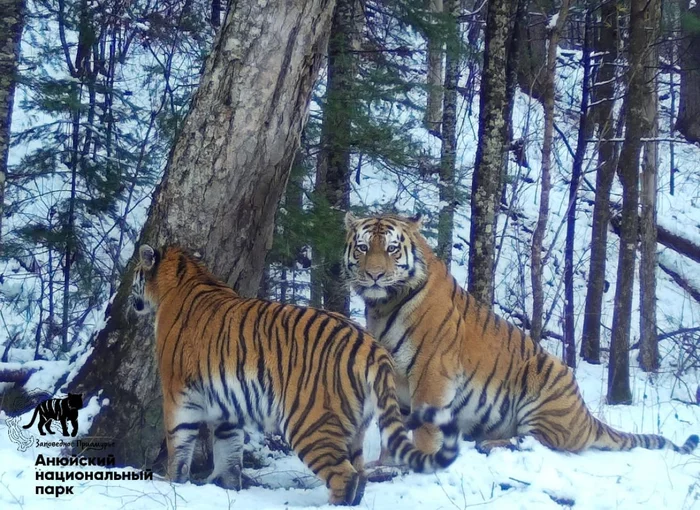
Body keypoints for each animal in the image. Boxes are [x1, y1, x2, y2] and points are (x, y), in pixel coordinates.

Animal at [130, 244, 460, 506]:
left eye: (135, 271)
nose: (129, 299)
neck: (185, 275)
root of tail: (371, 346)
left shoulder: (178, 393)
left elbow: (179, 443)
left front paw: (173, 483)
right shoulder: (228, 407)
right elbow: (229, 452)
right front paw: (227, 488)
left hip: (310, 424)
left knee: (344, 475)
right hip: (355, 428)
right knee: (361, 474)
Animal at [342, 213, 696, 460]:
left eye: (391, 249)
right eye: (363, 248)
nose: (374, 275)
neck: (382, 306)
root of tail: (585, 416)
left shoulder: (432, 373)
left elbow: (426, 428)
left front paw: (420, 461)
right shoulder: (396, 378)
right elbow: (395, 426)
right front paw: (386, 464)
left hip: (544, 386)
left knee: (544, 443)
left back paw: (492, 444)